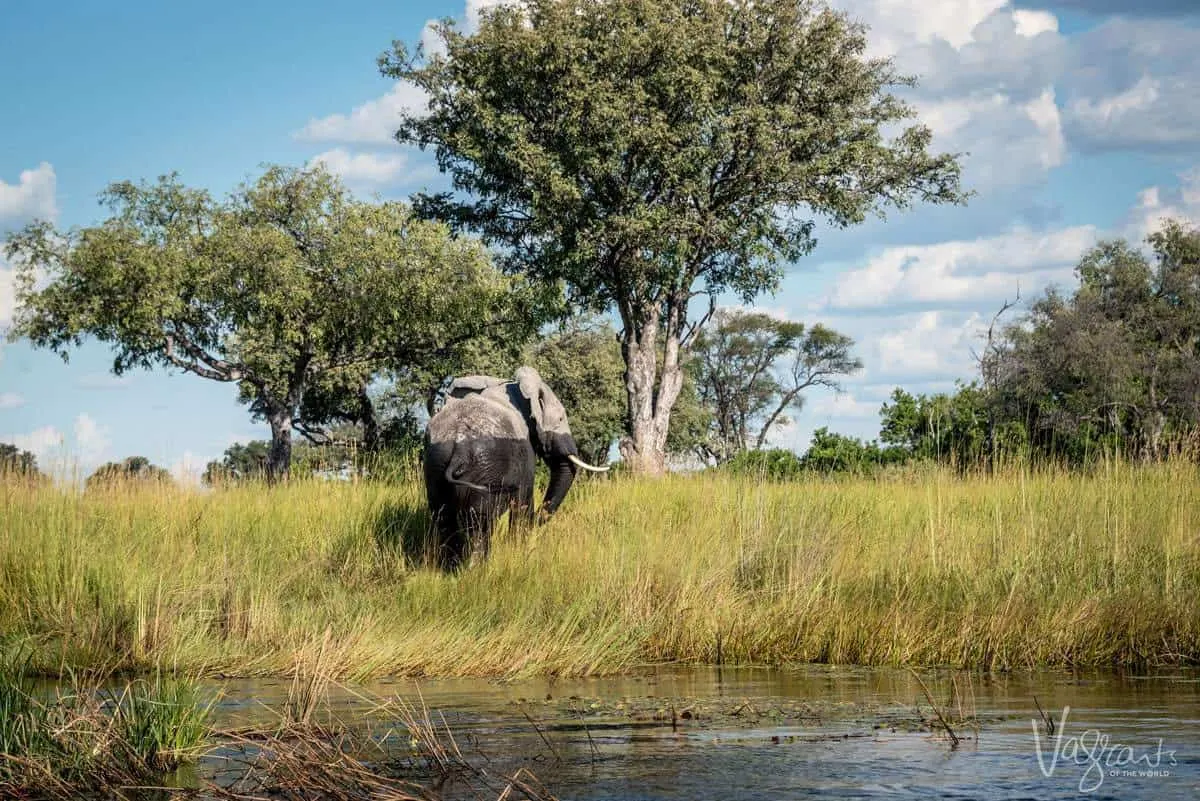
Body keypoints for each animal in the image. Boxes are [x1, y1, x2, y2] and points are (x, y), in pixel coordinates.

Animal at [422, 366, 609, 565]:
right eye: (560, 419)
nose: (537, 518)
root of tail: (460, 447)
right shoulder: (524, 452)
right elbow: (524, 501)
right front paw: (519, 550)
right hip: (485, 469)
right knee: (479, 521)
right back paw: (477, 567)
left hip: (436, 461)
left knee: (443, 515)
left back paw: (450, 566)